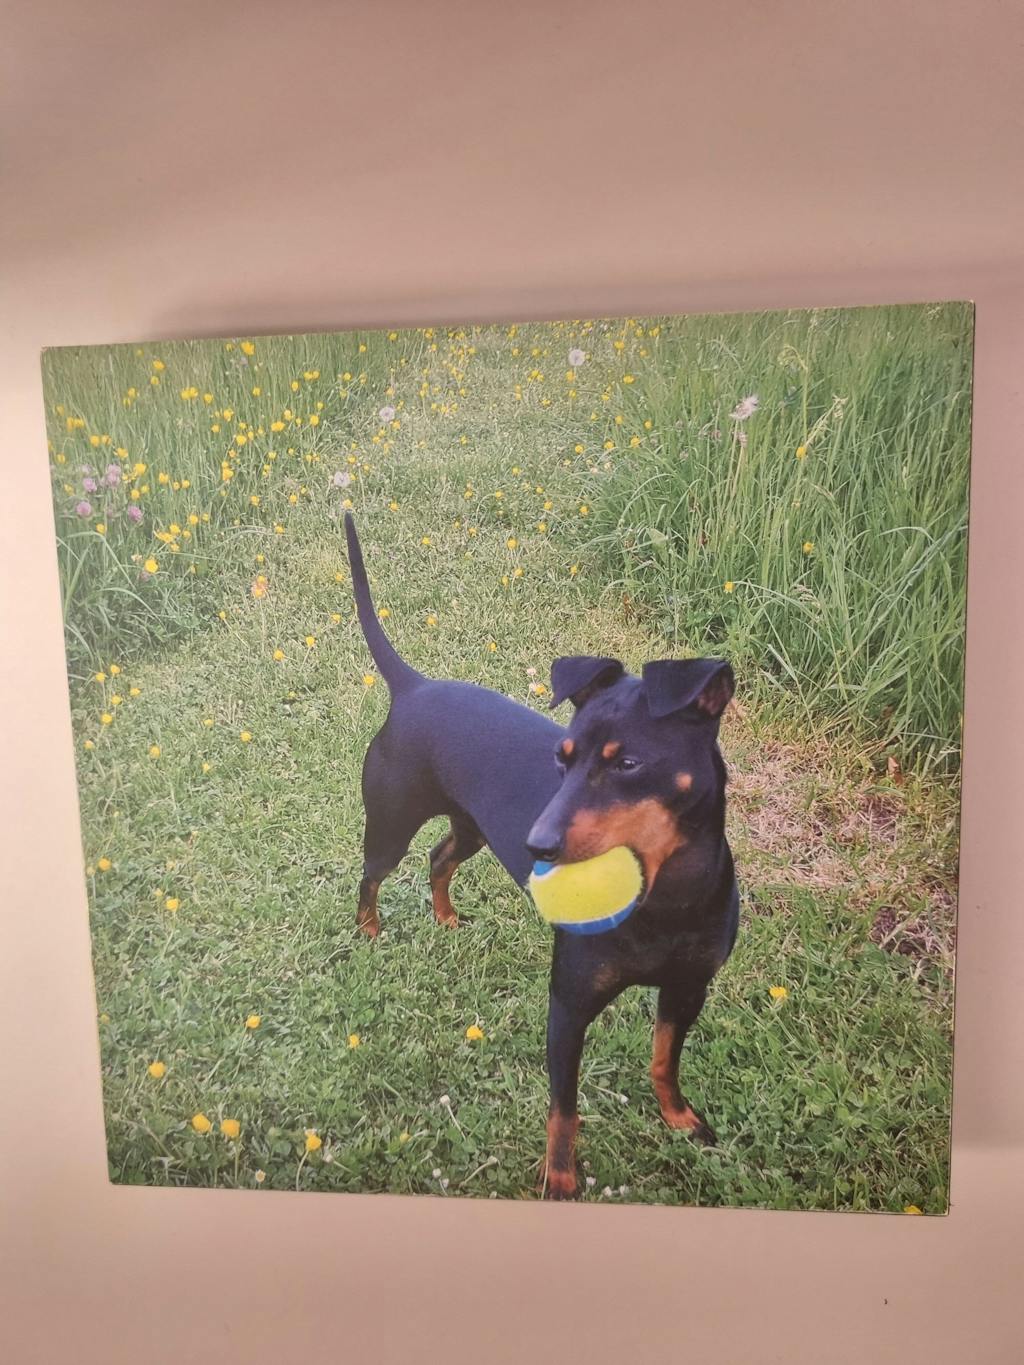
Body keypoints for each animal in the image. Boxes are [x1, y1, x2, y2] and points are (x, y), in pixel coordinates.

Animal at [344, 514, 739, 1199]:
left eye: (626, 763)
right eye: (563, 756)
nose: (537, 844)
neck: (668, 895)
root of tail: (414, 686)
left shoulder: (688, 989)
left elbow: (664, 1060)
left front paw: (680, 1119)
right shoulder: (569, 1007)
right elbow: (564, 1108)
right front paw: (559, 1180)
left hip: (472, 828)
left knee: (440, 858)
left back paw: (446, 917)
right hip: (390, 824)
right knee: (372, 876)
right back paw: (370, 929)